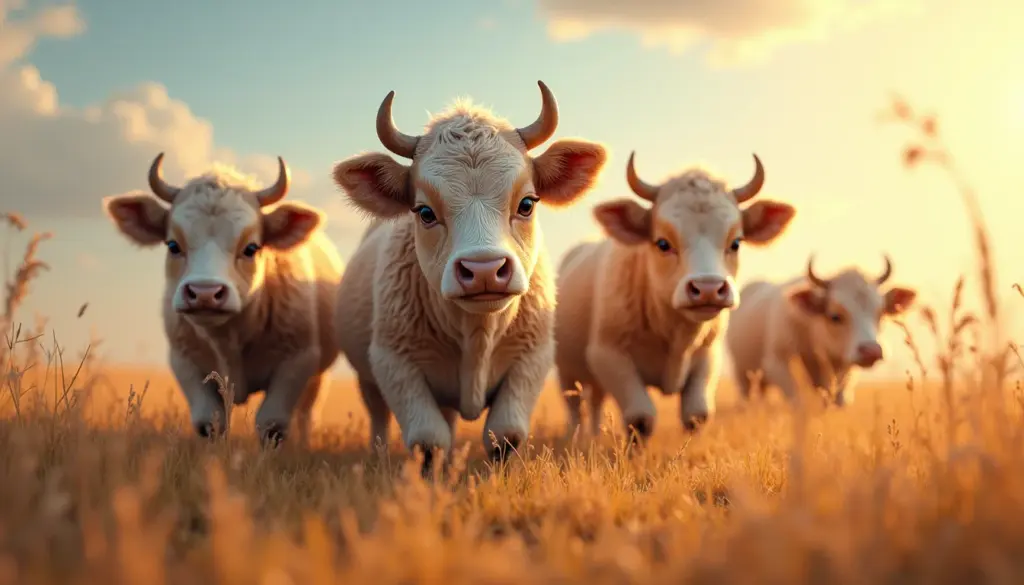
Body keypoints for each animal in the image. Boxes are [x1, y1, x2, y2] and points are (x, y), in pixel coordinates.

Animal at [102, 153, 344, 446]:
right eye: (173, 245)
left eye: (251, 248)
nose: (204, 292)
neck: (228, 339)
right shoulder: (185, 362)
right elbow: (210, 423)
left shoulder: (298, 360)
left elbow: (272, 424)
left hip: (318, 377)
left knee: (306, 414)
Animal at [331, 81, 608, 469]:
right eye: (424, 212)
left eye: (527, 204)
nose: (484, 270)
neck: (477, 333)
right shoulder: (393, 362)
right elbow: (429, 440)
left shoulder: (533, 358)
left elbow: (505, 434)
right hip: (367, 378)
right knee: (379, 417)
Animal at [554, 152, 797, 442]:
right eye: (662, 243)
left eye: (736, 242)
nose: (707, 288)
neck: (675, 333)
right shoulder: (608, 353)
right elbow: (641, 418)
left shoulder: (708, 354)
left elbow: (696, 416)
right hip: (567, 369)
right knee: (574, 405)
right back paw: (576, 437)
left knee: (595, 401)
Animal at [725, 255, 917, 407]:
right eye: (835, 316)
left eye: (880, 314)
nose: (871, 351)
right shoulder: (777, 365)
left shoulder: (845, 375)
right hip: (743, 374)